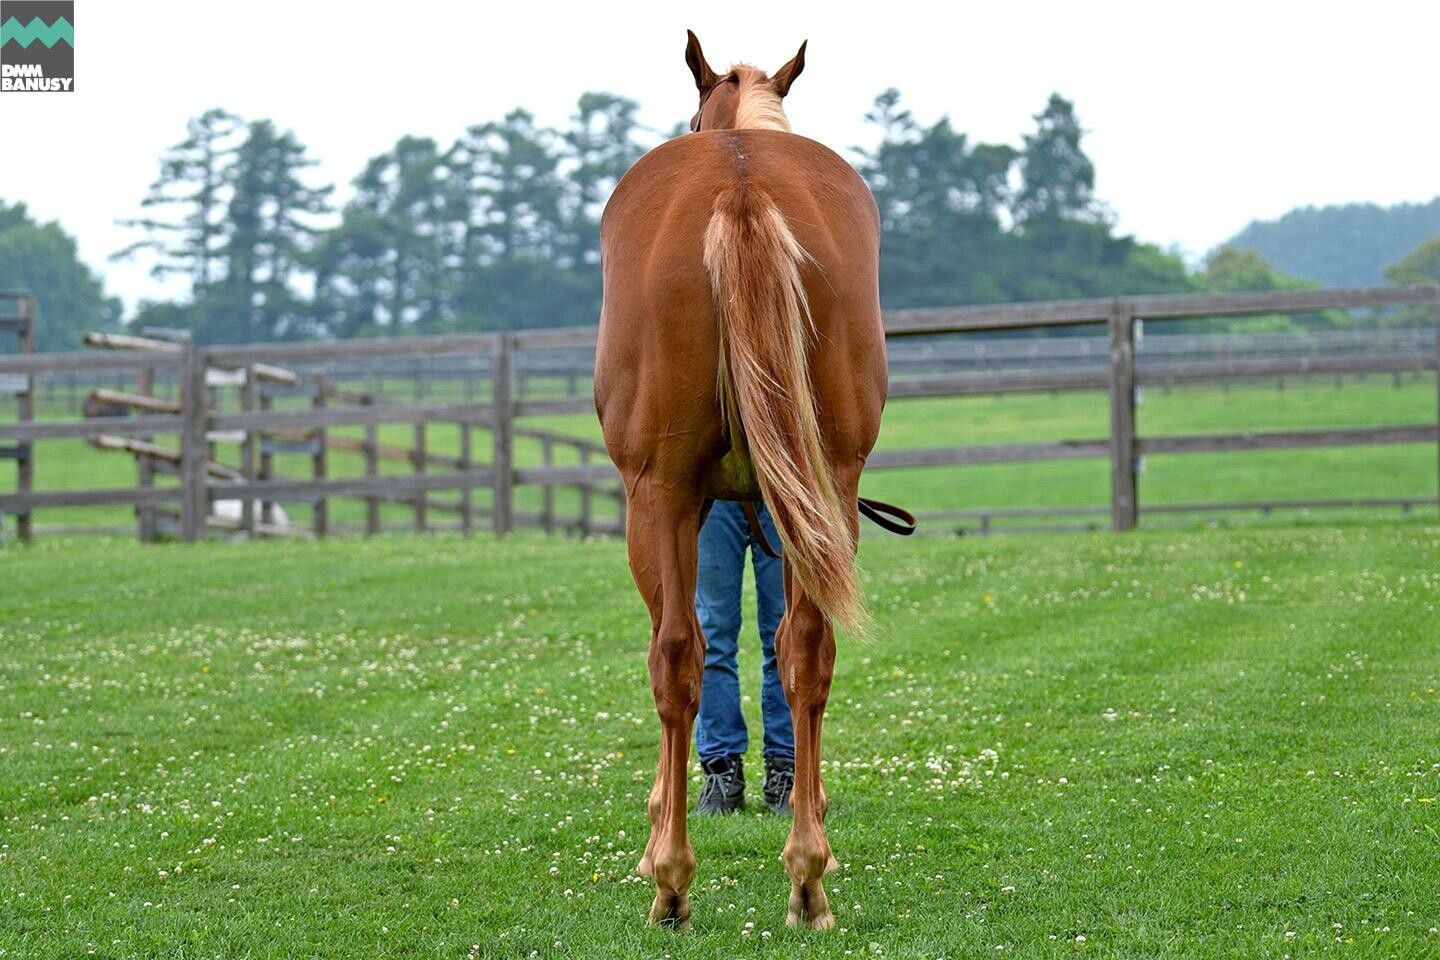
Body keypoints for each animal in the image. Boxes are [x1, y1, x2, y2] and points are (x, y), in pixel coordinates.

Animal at [590, 35, 881, 932]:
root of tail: (741, 182)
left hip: (658, 496)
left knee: (677, 656)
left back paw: (672, 883)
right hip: (829, 491)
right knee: (807, 651)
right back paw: (808, 878)